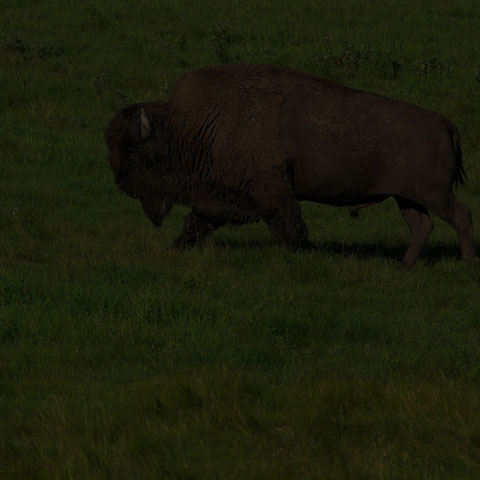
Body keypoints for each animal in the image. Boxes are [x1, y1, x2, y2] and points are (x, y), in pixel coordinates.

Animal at [105, 62, 476, 268]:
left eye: (133, 150)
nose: (120, 182)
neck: (194, 126)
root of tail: (446, 123)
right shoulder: (221, 199)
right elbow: (198, 222)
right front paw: (178, 246)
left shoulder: (272, 190)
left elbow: (286, 222)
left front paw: (297, 251)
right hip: (407, 198)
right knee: (421, 226)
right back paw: (404, 265)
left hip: (433, 194)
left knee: (460, 215)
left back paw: (467, 260)